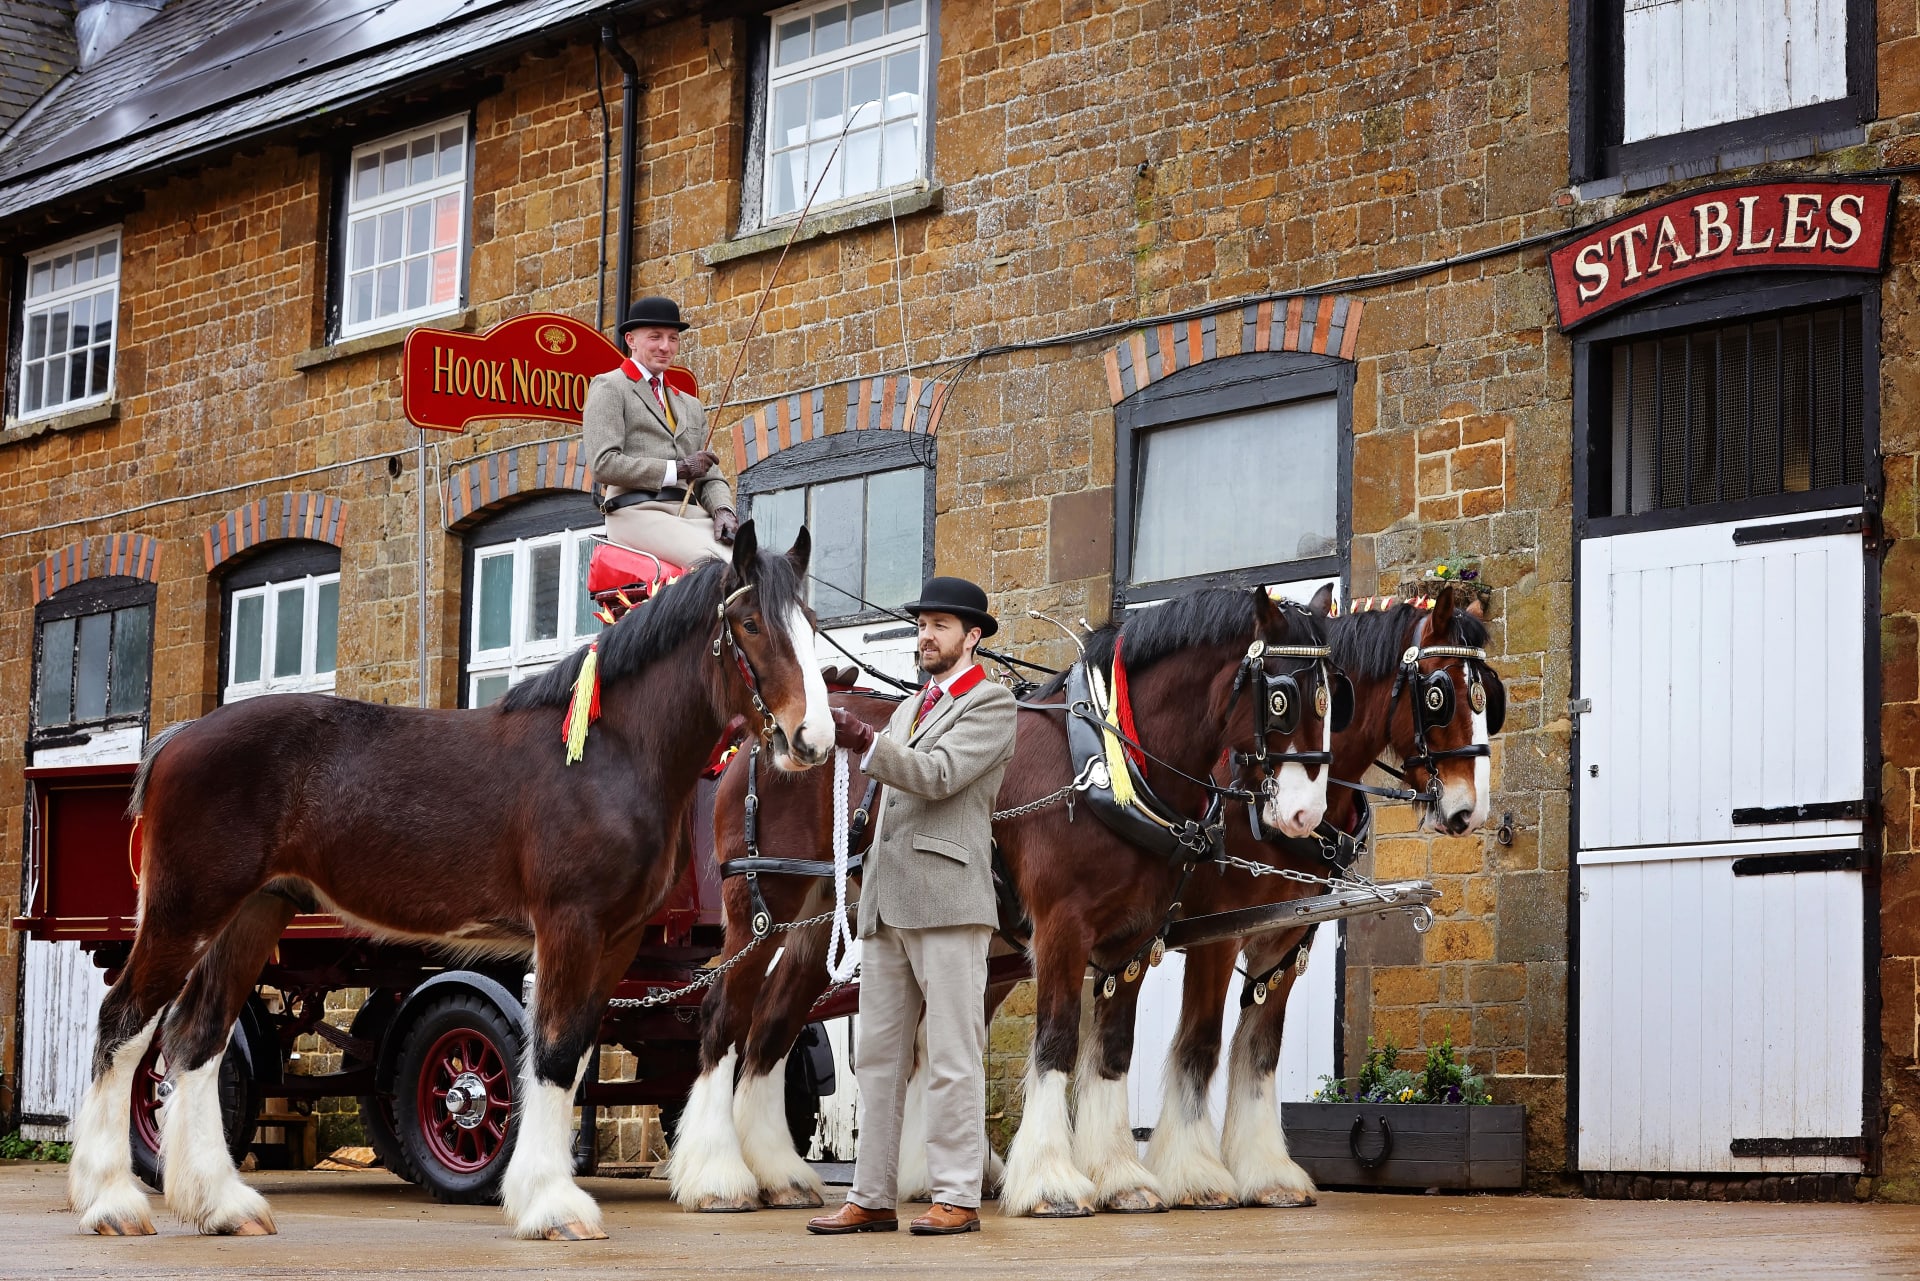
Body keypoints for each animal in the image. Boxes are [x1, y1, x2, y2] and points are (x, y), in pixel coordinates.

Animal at [69, 522, 833, 1244]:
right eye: (752, 623)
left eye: (810, 620)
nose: (813, 740)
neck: (609, 753)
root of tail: (179, 738)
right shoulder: (570, 926)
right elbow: (552, 1052)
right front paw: (552, 1206)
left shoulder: (615, 940)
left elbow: (575, 1052)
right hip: (186, 912)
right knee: (125, 1026)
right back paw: (111, 1202)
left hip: (250, 915)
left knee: (197, 1040)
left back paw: (222, 1205)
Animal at [668, 587, 1344, 1221]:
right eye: (1281, 697)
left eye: (1335, 695)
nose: (1305, 816)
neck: (1110, 768)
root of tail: (762, 736)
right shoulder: (1063, 930)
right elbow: (1058, 1039)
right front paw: (1051, 1182)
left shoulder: (1133, 939)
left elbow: (1113, 1050)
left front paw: (1121, 1178)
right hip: (761, 905)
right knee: (724, 1016)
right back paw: (716, 1177)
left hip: (823, 918)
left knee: (773, 1024)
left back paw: (777, 1173)